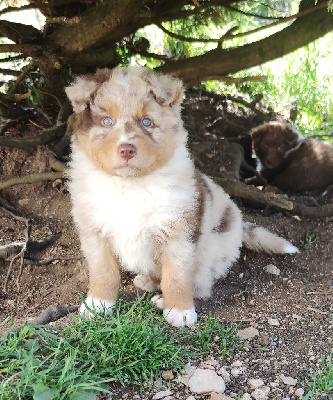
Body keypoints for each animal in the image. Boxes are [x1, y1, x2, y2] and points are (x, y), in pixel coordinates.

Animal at [66, 67, 296, 326]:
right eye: (107, 121)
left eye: (147, 122)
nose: (126, 149)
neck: (130, 184)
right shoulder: (95, 231)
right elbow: (102, 272)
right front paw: (97, 304)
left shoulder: (179, 233)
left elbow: (177, 276)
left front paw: (179, 311)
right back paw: (146, 281)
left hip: (211, 251)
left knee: (200, 284)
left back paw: (162, 299)